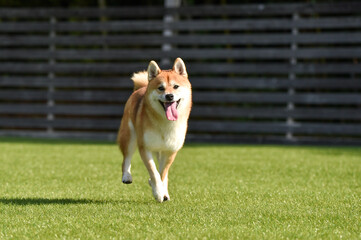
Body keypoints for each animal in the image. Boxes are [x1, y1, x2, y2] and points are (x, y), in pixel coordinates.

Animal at [117, 58, 191, 202]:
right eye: (160, 88)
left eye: (176, 86)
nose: (169, 96)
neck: (165, 123)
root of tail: (142, 88)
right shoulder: (145, 148)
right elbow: (154, 172)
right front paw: (158, 192)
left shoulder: (170, 151)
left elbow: (162, 173)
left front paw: (160, 190)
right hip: (129, 136)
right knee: (126, 157)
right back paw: (126, 176)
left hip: (160, 150)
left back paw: (165, 192)